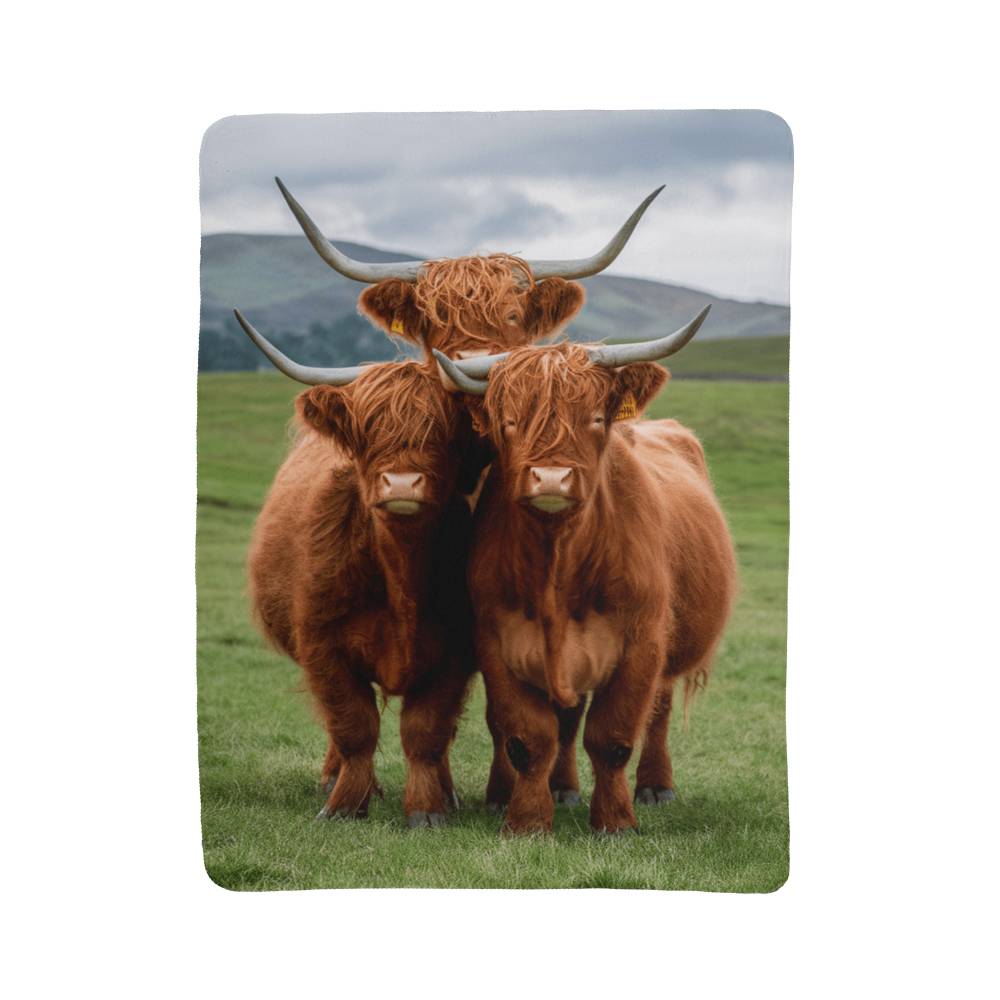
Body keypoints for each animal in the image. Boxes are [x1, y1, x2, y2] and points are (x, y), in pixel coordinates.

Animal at [234, 311, 477, 826]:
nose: (402, 483)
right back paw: (331, 779)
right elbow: (353, 725)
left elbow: (427, 730)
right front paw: (344, 803)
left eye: (444, 433)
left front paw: (428, 808)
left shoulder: (458, 650)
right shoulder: (321, 644)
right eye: (367, 432)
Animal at [433, 308, 737, 834]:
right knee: (567, 720)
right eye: (509, 421)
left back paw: (656, 787)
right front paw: (528, 821)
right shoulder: (496, 641)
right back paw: (562, 788)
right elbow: (529, 737)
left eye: (595, 418)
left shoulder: (642, 642)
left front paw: (615, 823)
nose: (552, 478)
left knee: (656, 712)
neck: (559, 561)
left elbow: (612, 736)